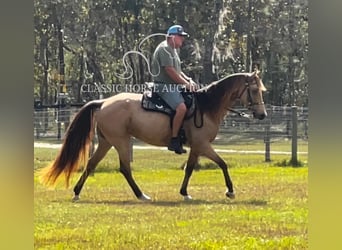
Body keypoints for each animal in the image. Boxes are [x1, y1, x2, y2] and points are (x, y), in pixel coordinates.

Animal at [40, 70, 268, 201]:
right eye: (254, 90)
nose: (262, 115)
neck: (205, 107)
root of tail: (103, 102)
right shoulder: (203, 145)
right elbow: (222, 164)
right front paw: (230, 191)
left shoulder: (196, 147)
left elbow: (190, 168)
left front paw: (184, 193)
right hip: (121, 141)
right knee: (124, 168)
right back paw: (141, 195)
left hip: (106, 142)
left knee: (91, 165)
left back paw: (77, 193)